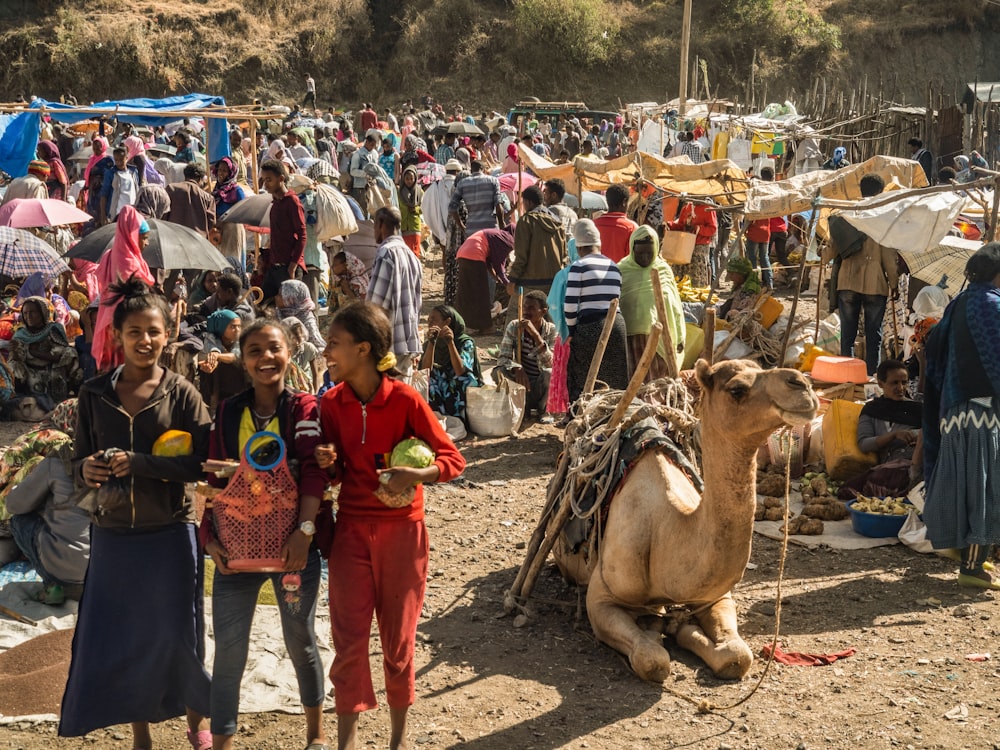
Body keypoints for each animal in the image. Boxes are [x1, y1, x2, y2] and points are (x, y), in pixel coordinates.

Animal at [552, 362, 816, 684]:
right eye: (736, 389)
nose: (802, 384)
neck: (665, 532)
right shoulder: (601, 598)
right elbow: (652, 659)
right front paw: (658, 630)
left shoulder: (715, 596)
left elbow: (738, 656)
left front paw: (681, 628)